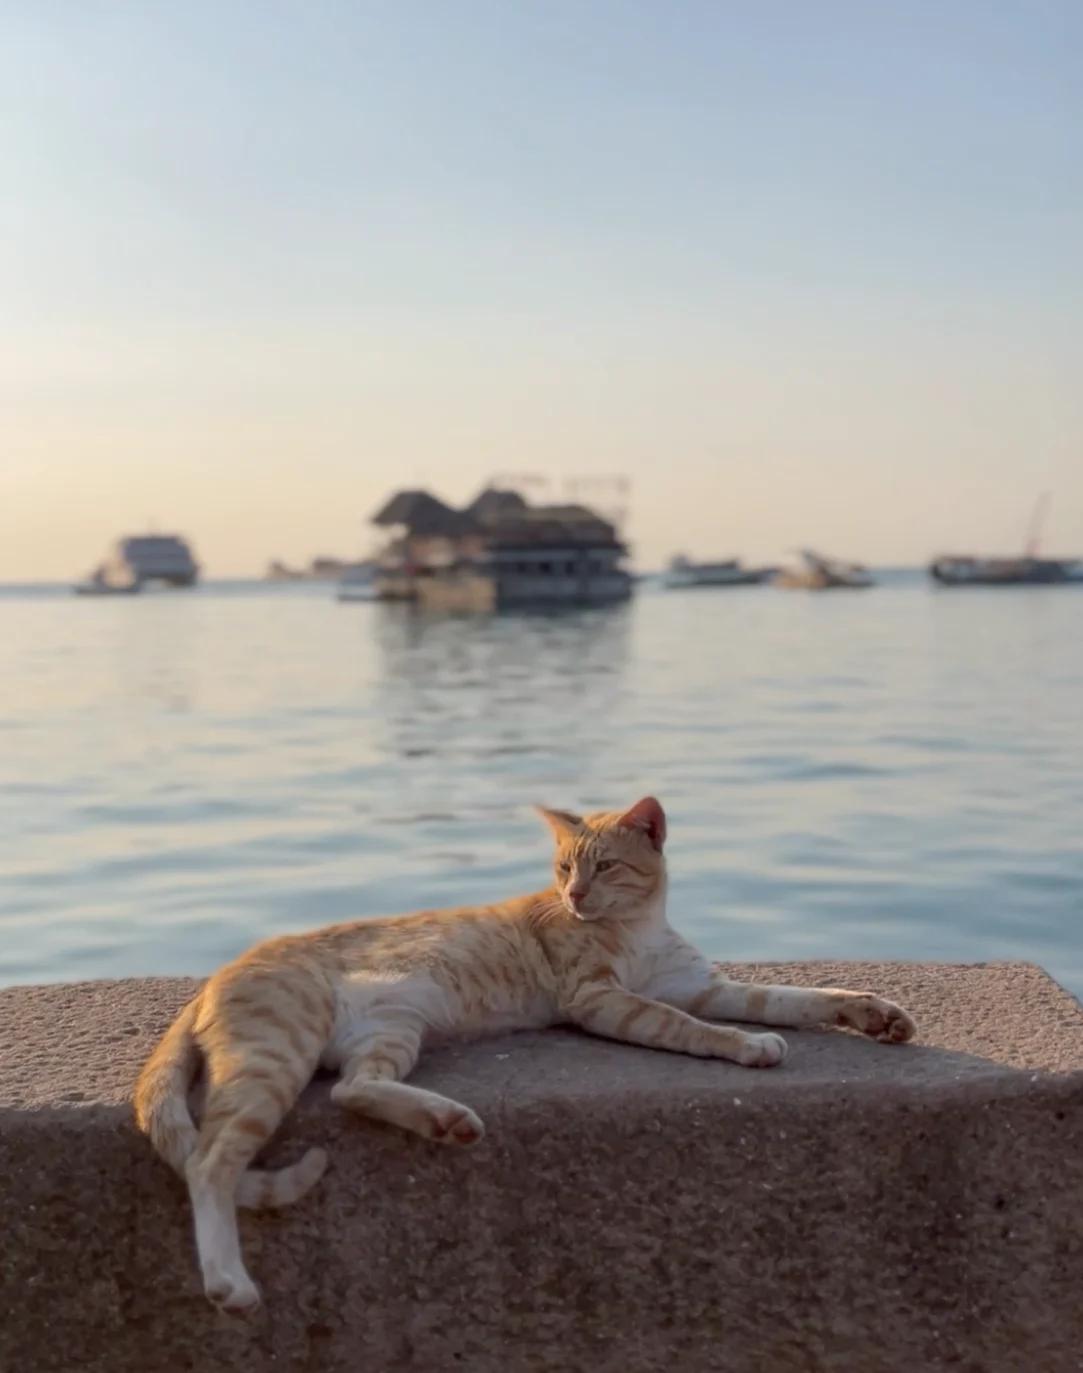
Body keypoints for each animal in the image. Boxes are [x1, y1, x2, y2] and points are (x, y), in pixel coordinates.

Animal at [133, 801, 911, 1312]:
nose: (574, 895)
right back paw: (228, 1281)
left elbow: (789, 996)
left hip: (392, 1032)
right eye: (564, 867)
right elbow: (691, 1026)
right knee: (210, 1163)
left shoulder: (705, 985)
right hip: (275, 1056)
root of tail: (211, 978)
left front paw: (870, 1011)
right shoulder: (603, 1000)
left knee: (354, 1089)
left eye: (604, 866)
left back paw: (445, 1119)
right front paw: (747, 1045)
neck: (637, 925)